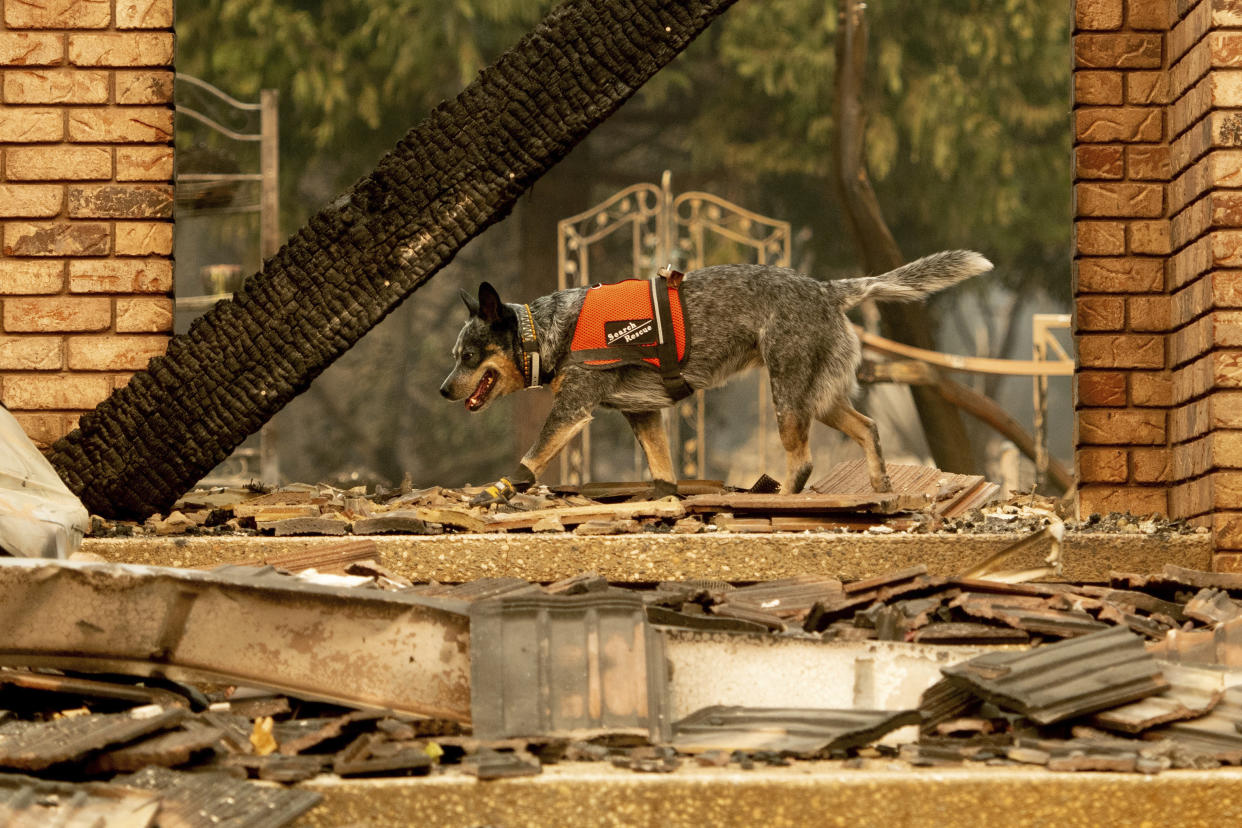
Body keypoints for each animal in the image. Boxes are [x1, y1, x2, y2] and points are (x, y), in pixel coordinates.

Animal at [442, 249, 993, 506]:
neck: (547, 330)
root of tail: (827, 288)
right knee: (869, 428)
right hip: (820, 397)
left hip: (787, 393)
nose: (443, 389)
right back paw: (879, 485)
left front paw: (494, 492)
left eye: (469, 355)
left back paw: (781, 505)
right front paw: (662, 500)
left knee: (803, 461)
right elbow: (663, 472)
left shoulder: (572, 409)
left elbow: (530, 460)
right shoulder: (644, 414)